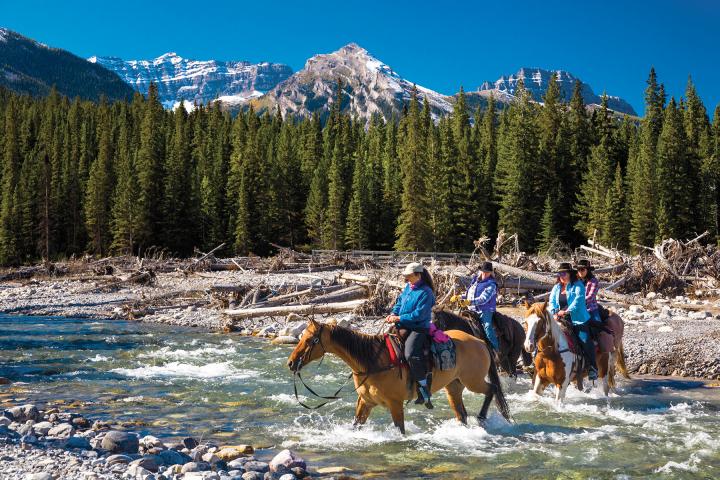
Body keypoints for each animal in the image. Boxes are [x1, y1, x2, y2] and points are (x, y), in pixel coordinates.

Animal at [286, 318, 512, 436]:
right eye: (302, 338)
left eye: (311, 340)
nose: (291, 363)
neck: (372, 361)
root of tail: (480, 342)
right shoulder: (365, 402)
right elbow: (356, 424)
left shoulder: (395, 404)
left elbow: (400, 429)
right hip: (454, 387)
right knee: (461, 413)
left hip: (473, 381)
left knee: (491, 389)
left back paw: (481, 417)